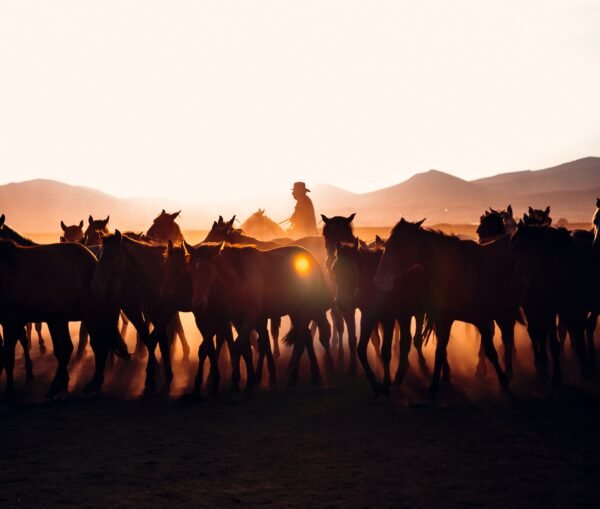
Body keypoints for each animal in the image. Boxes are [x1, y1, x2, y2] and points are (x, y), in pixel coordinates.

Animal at [0, 238, 129, 396]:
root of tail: (93, 259)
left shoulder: (11, 322)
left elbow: (8, 355)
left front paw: (10, 390)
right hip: (63, 320)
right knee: (76, 347)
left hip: (84, 316)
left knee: (95, 345)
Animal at [190, 244, 336, 386]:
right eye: (192, 270)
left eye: (209, 270)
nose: (198, 302)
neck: (239, 276)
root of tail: (313, 261)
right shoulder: (238, 320)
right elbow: (247, 347)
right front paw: (252, 377)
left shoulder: (251, 317)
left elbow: (239, 346)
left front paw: (239, 379)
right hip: (295, 312)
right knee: (306, 336)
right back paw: (310, 372)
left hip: (308, 310)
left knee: (309, 337)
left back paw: (306, 371)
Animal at [330, 238, 428, 392]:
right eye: (335, 269)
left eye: (353, 270)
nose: (341, 303)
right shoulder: (368, 317)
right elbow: (361, 349)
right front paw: (374, 382)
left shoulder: (388, 319)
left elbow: (386, 351)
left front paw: (386, 382)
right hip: (404, 315)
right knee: (405, 341)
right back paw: (401, 374)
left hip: (418, 312)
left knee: (413, 339)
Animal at [376, 218, 516, 396]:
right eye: (387, 245)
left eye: (400, 246)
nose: (380, 279)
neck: (457, 273)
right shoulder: (444, 319)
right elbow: (440, 350)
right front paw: (434, 386)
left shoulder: (482, 320)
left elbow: (491, 351)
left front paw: (503, 381)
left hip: (506, 312)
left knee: (507, 338)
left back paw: (507, 371)